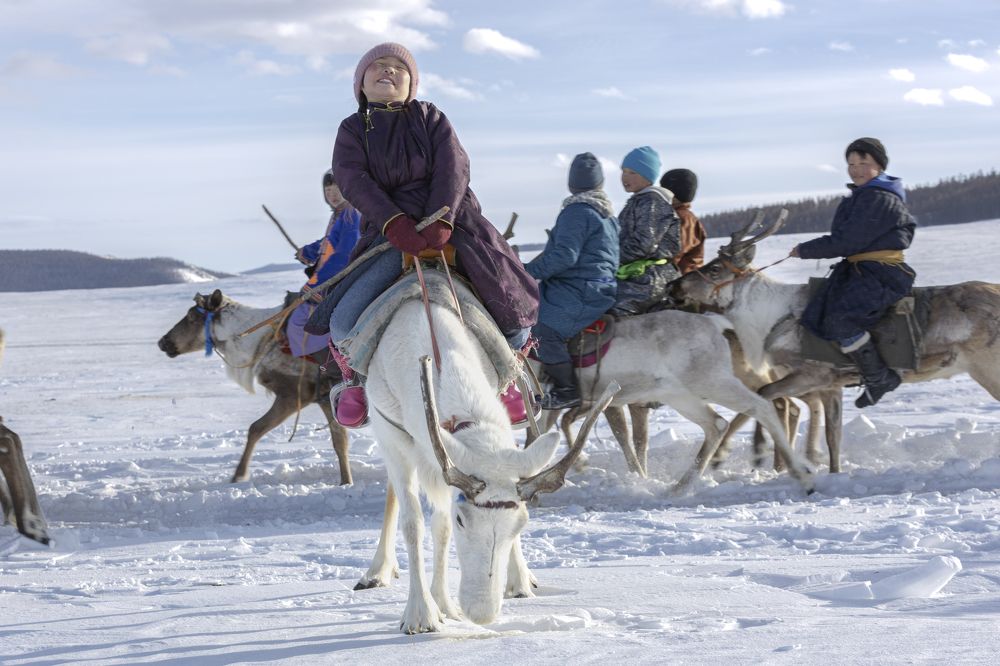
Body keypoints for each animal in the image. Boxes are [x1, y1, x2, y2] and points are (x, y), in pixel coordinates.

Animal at [157, 290, 351, 485]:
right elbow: (339, 440)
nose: (162, 342)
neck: (257, 343)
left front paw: (239, 474)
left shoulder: (294, 395)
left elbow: (255, 428)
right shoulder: (324, 396)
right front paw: (346, 481)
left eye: (191, 316)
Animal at [671, 211, 1000, 472]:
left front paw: (747, 453)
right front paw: (831, 472)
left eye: (714, 268)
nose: (675, 285)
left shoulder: (811, 375)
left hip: (987, 369)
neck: (769, 321)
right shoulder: (831, 386)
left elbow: (764, 397)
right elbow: (833, 437)